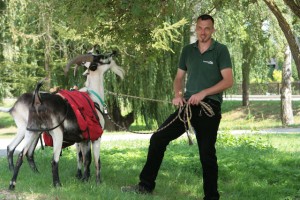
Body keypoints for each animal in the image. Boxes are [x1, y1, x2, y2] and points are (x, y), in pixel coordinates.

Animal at [4, 50, 124, 190]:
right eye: (101, 58)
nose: (113, 53)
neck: (93, 98)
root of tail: (38, 100)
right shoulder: (96, 137)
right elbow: (96, 160)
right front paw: (98, 182)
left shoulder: (84, 139)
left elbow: (86, 159)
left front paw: (85, 179)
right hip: (56, 134)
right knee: (54, 160)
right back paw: (57, 184)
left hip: (31, 131)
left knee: (21, 155)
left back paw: (12, 184)